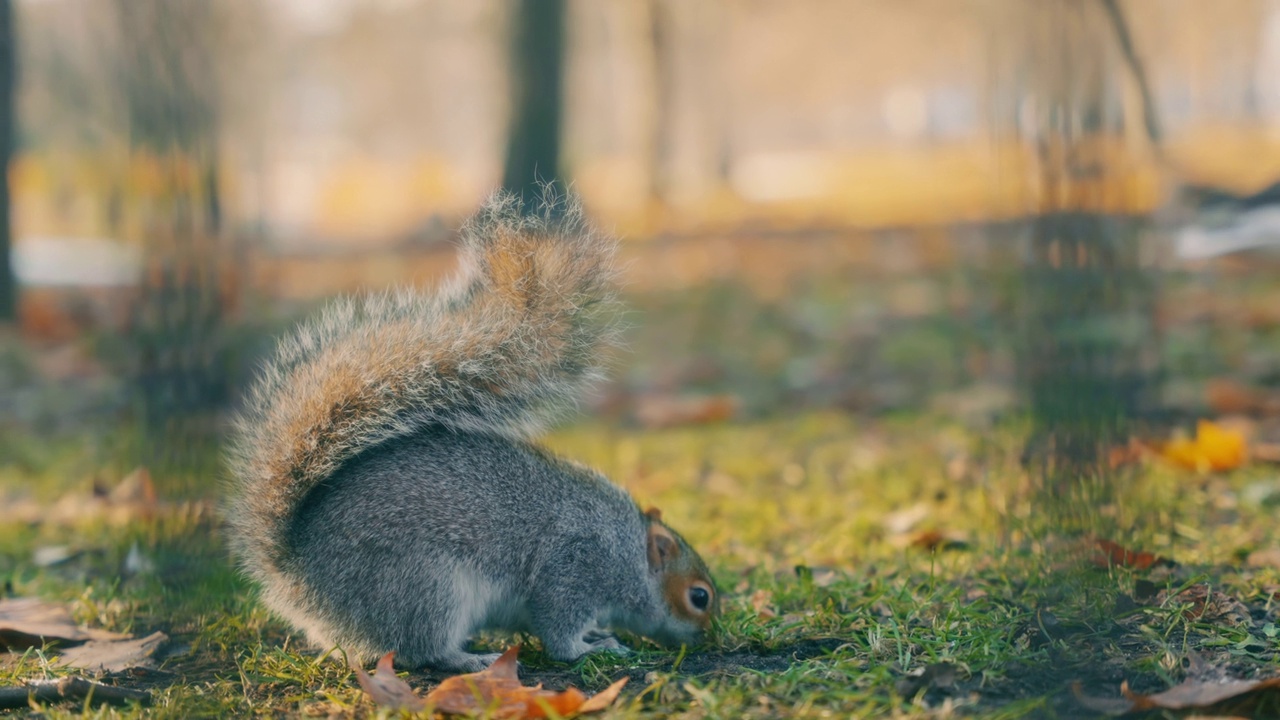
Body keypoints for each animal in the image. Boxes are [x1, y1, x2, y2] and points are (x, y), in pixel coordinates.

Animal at [225, 192, 716, 671]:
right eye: (700, 597)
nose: (711, 638)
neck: (629, 553)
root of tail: (298, 574)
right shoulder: (575, 566)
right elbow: (559, 629)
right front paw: (590, 648)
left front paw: (598, 635)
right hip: (425, 585)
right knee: (423, 647)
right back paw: (472, 657)